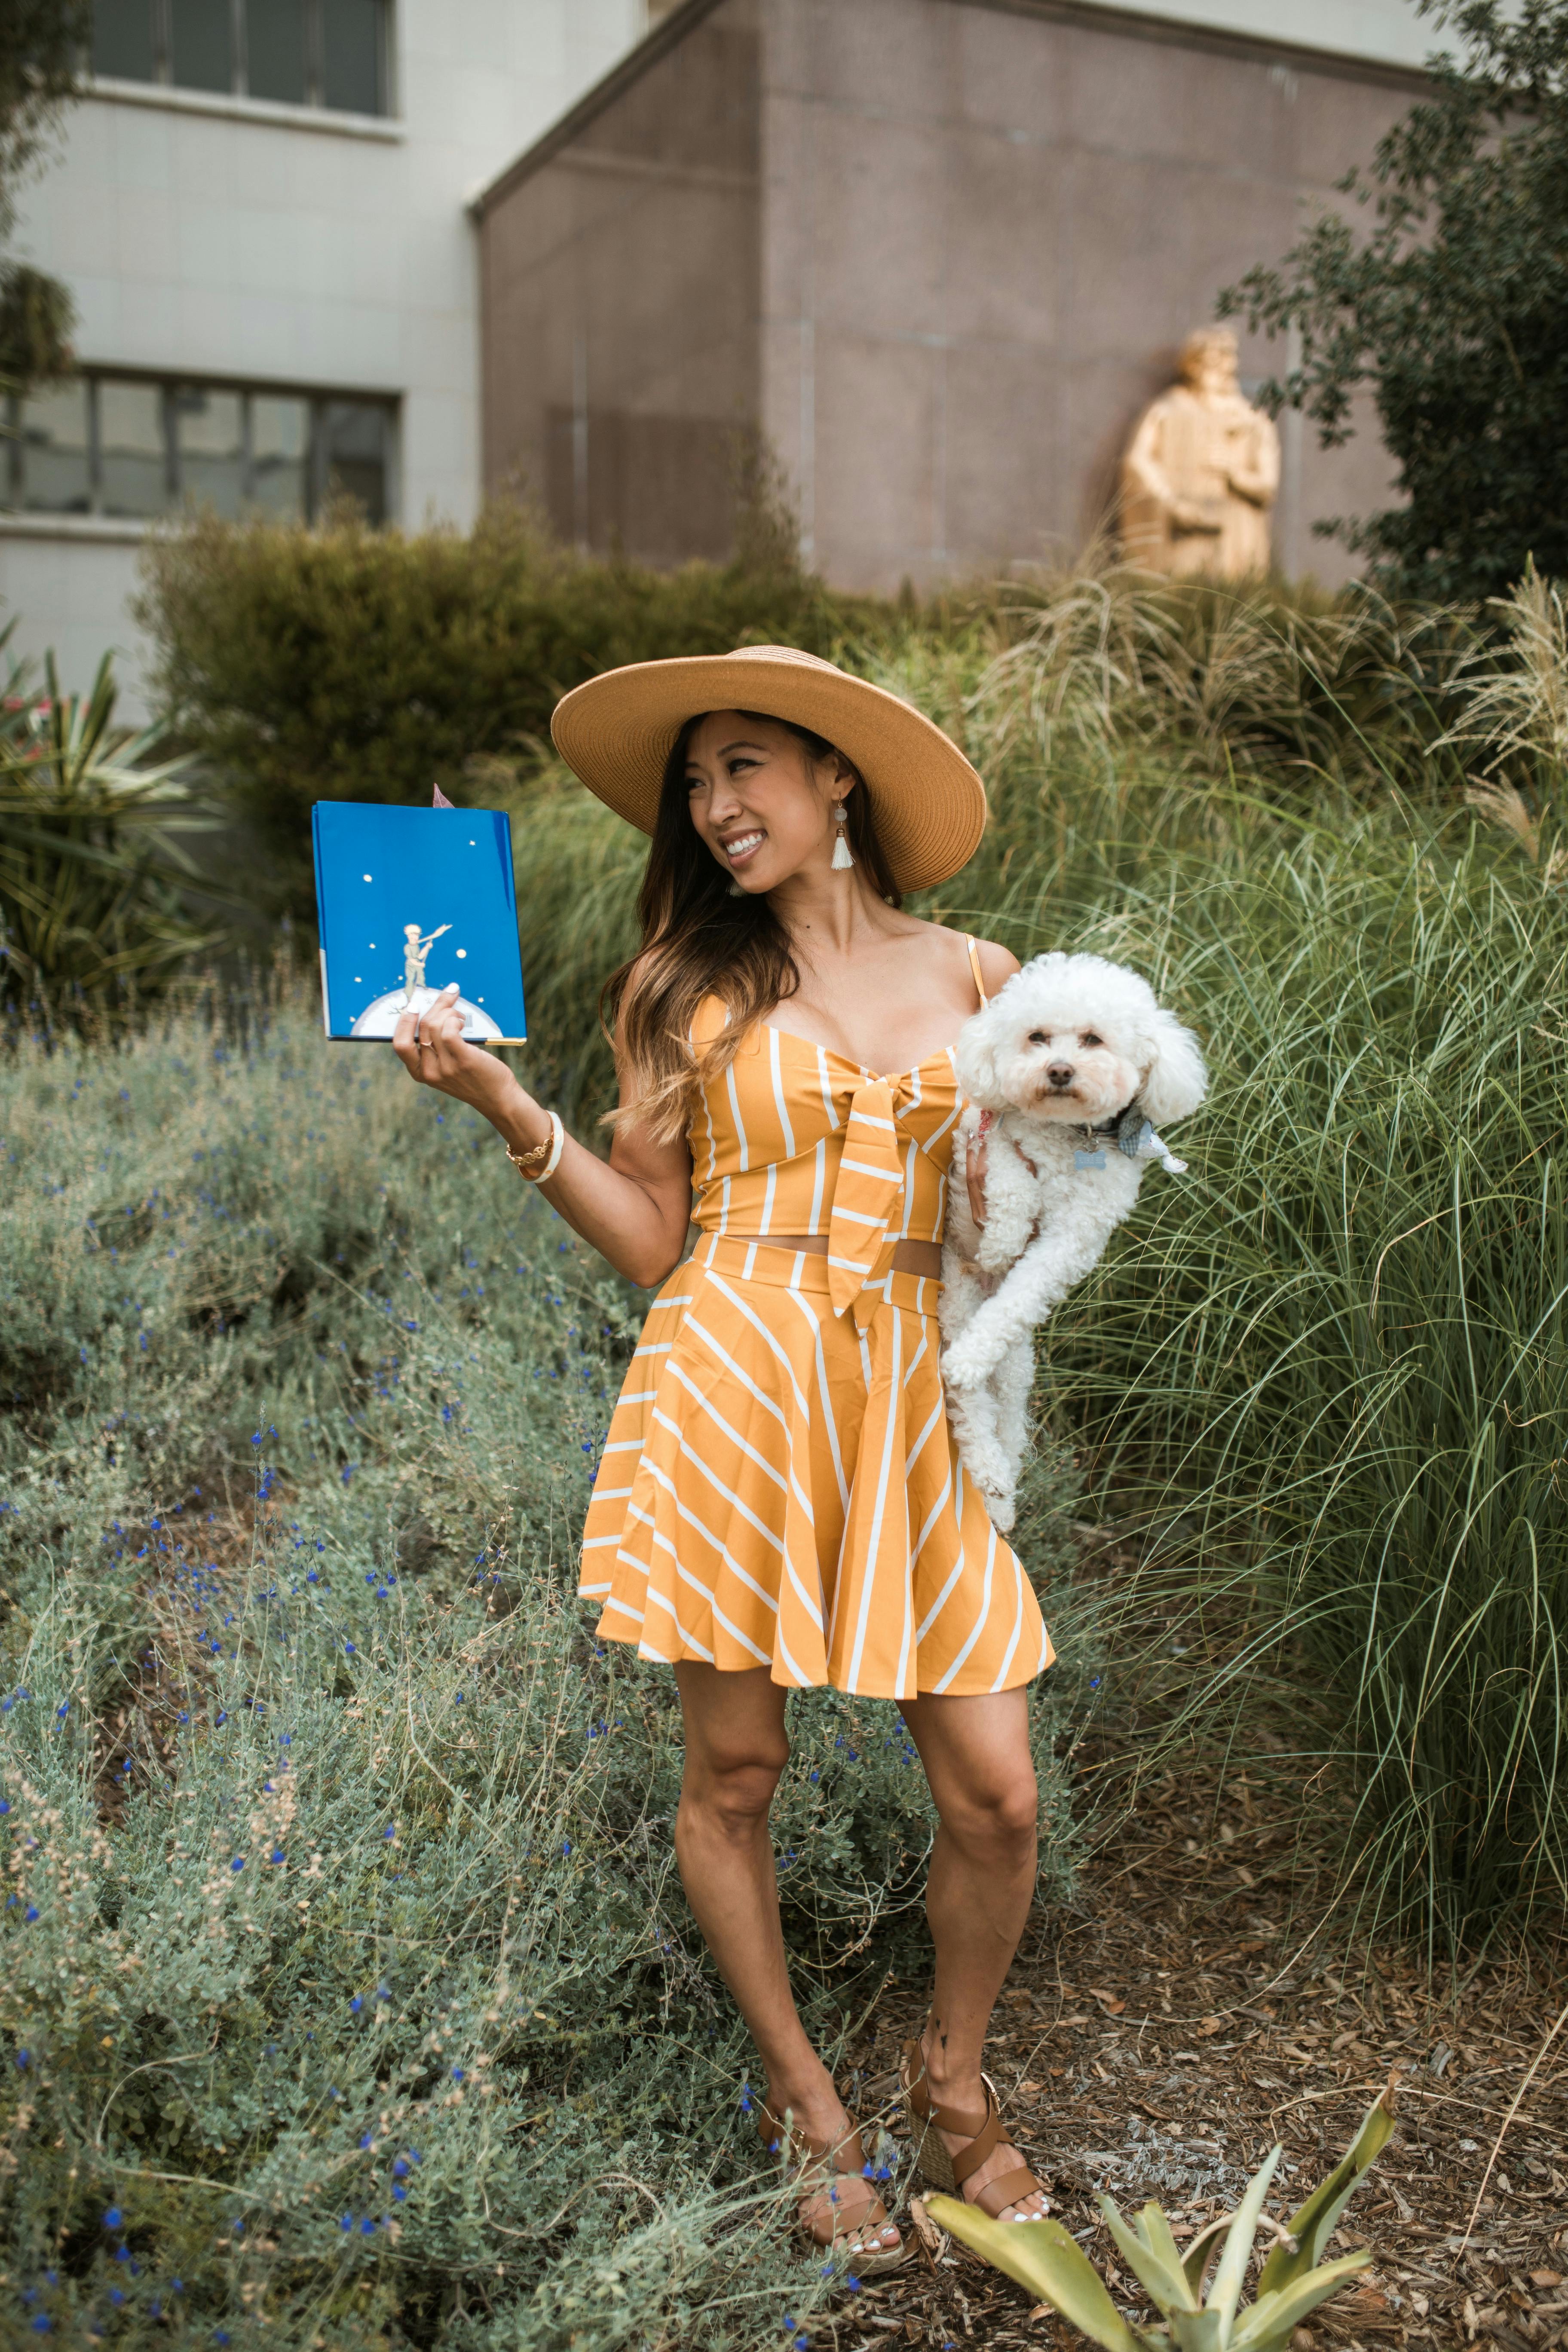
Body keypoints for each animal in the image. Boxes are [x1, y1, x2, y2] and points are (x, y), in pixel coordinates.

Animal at [940, 945, 1213, 1533]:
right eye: (1037, 1036)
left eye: (1093, 1039)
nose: (1059, 1070)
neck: (1069, 1137)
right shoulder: (983, 1137)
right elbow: (1013, 1182)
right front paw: (1000, 1240)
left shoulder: (1075, 1239)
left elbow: (1029, 1281)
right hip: (955, 1302)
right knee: (968, 1405)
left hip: (1016, 1360)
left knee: (1003, 1409)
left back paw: (1001, 1491)